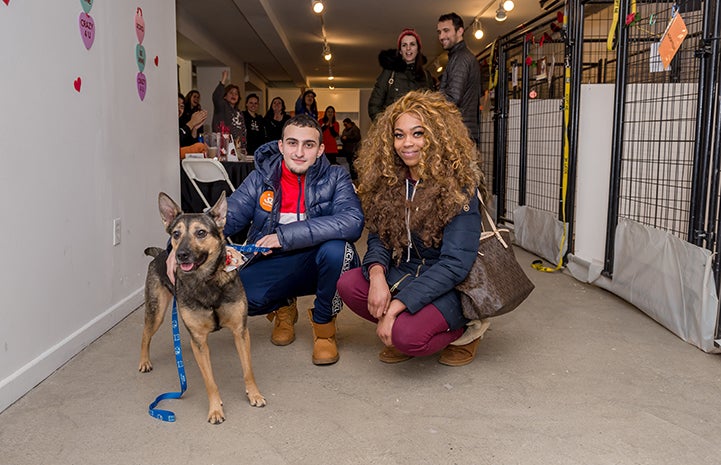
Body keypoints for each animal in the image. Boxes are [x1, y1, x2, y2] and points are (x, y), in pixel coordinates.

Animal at [139, 190, 266, 422]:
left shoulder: (240, 331)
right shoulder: (199, 339)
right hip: (157, 311)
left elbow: (248, 370)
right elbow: (210, 381)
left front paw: (254, 395)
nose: (181, 255)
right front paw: (215, 409)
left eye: (201, 232)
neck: (207, 281)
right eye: (176, 234)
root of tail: (161, 253)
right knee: (145, 334)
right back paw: (144, 361)